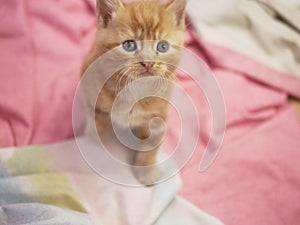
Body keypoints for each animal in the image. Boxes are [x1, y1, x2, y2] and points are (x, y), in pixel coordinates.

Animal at [81, 0, 186, 185]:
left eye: (163, 46)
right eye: (129, 45)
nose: (148, 63)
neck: (134, 88)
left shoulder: (158, 117)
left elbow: (151, 146)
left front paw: (147, 171)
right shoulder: (89, 84)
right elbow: (97, 120)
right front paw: (94, 140)